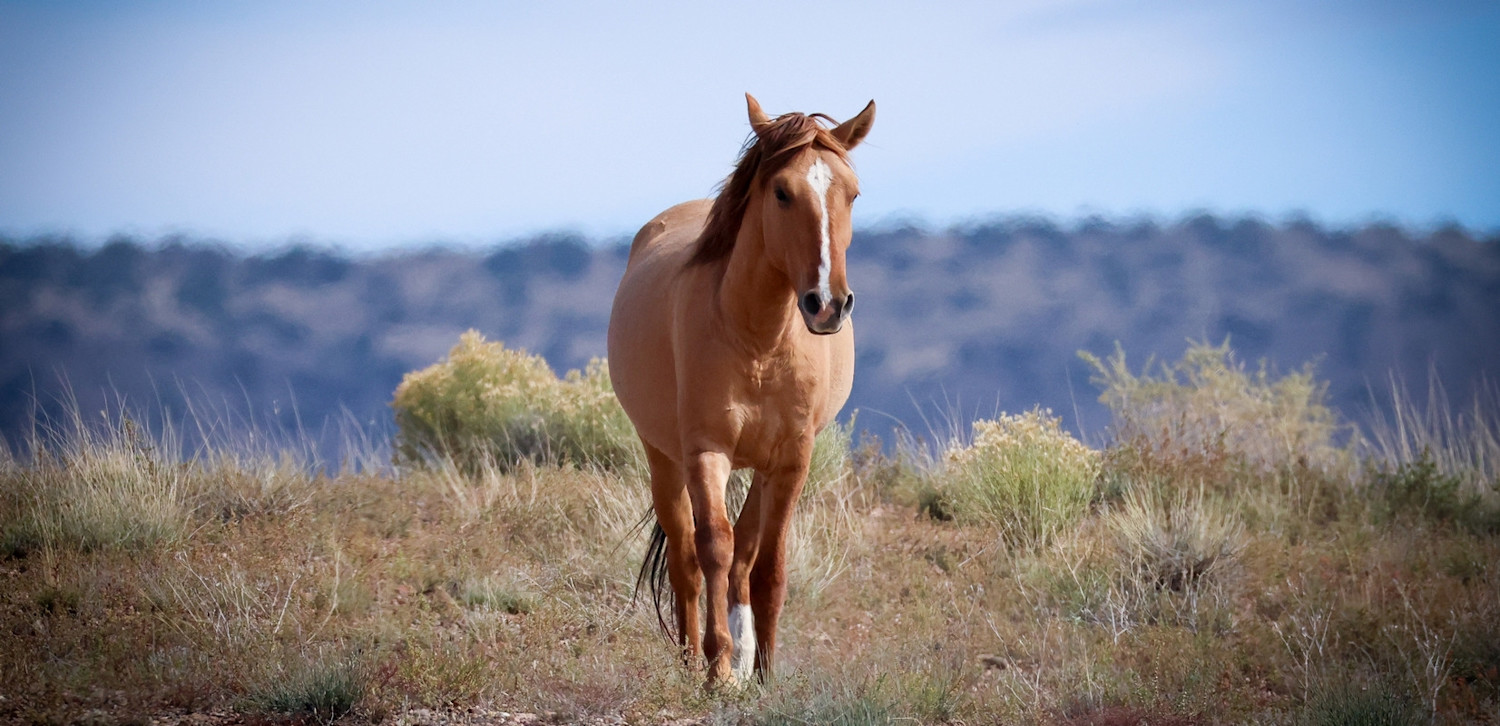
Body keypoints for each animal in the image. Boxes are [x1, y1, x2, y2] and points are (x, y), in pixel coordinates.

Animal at [607, 93, 875, 687]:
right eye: (782, 192)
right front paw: (718, 669)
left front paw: (765, 674)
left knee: (746, 554)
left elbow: (768, 565)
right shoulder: (707, 451)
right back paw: (692, 660)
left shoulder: (792, 459)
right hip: (662, 457)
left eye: (852, 192)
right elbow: (713, 547)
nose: (828, 304)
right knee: (687, 556)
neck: (758, 339)